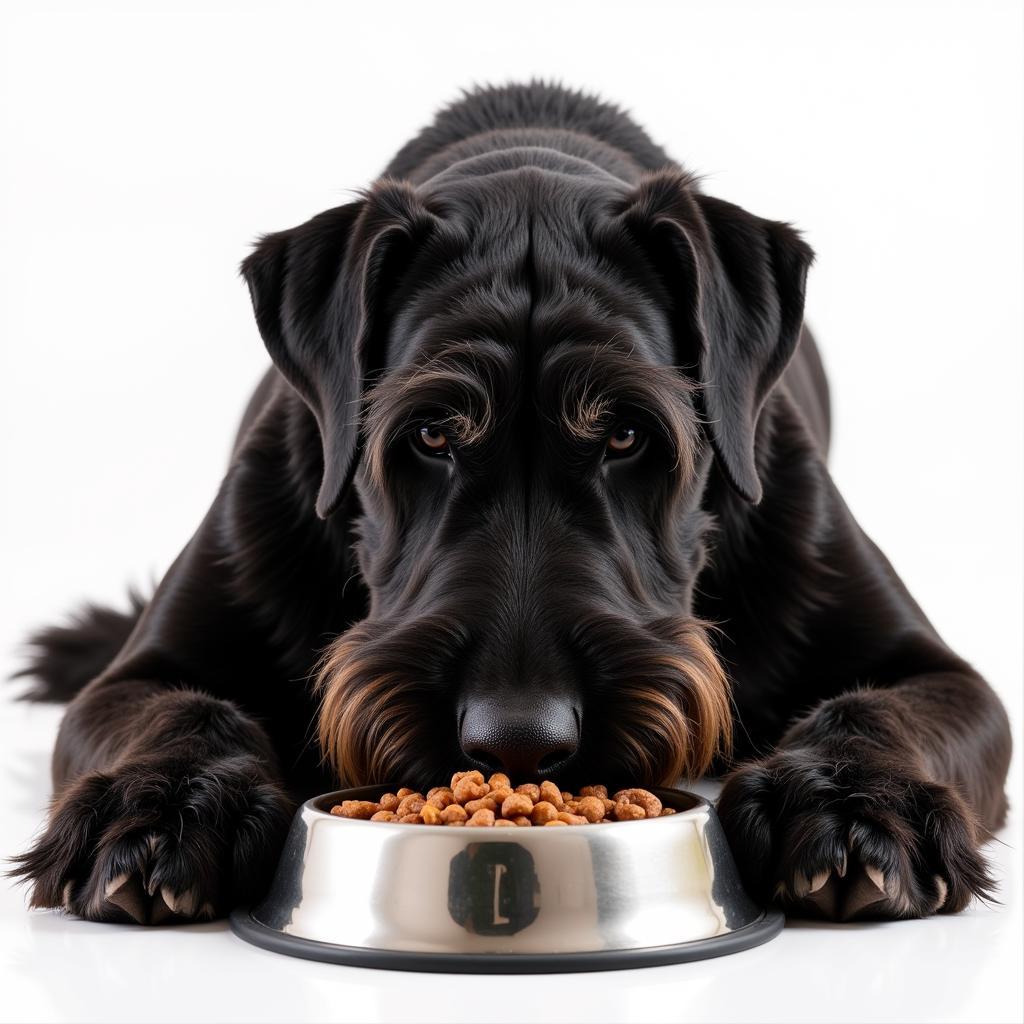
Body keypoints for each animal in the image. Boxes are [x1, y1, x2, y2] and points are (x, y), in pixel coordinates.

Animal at [14, 81, 1007, 929]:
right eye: (431, 434)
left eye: (626, 434)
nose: (519, 742)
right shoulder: (139, 676)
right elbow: (183, 710)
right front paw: (158, 811)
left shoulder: (939, 674)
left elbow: (874, 708)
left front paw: (848, 807)